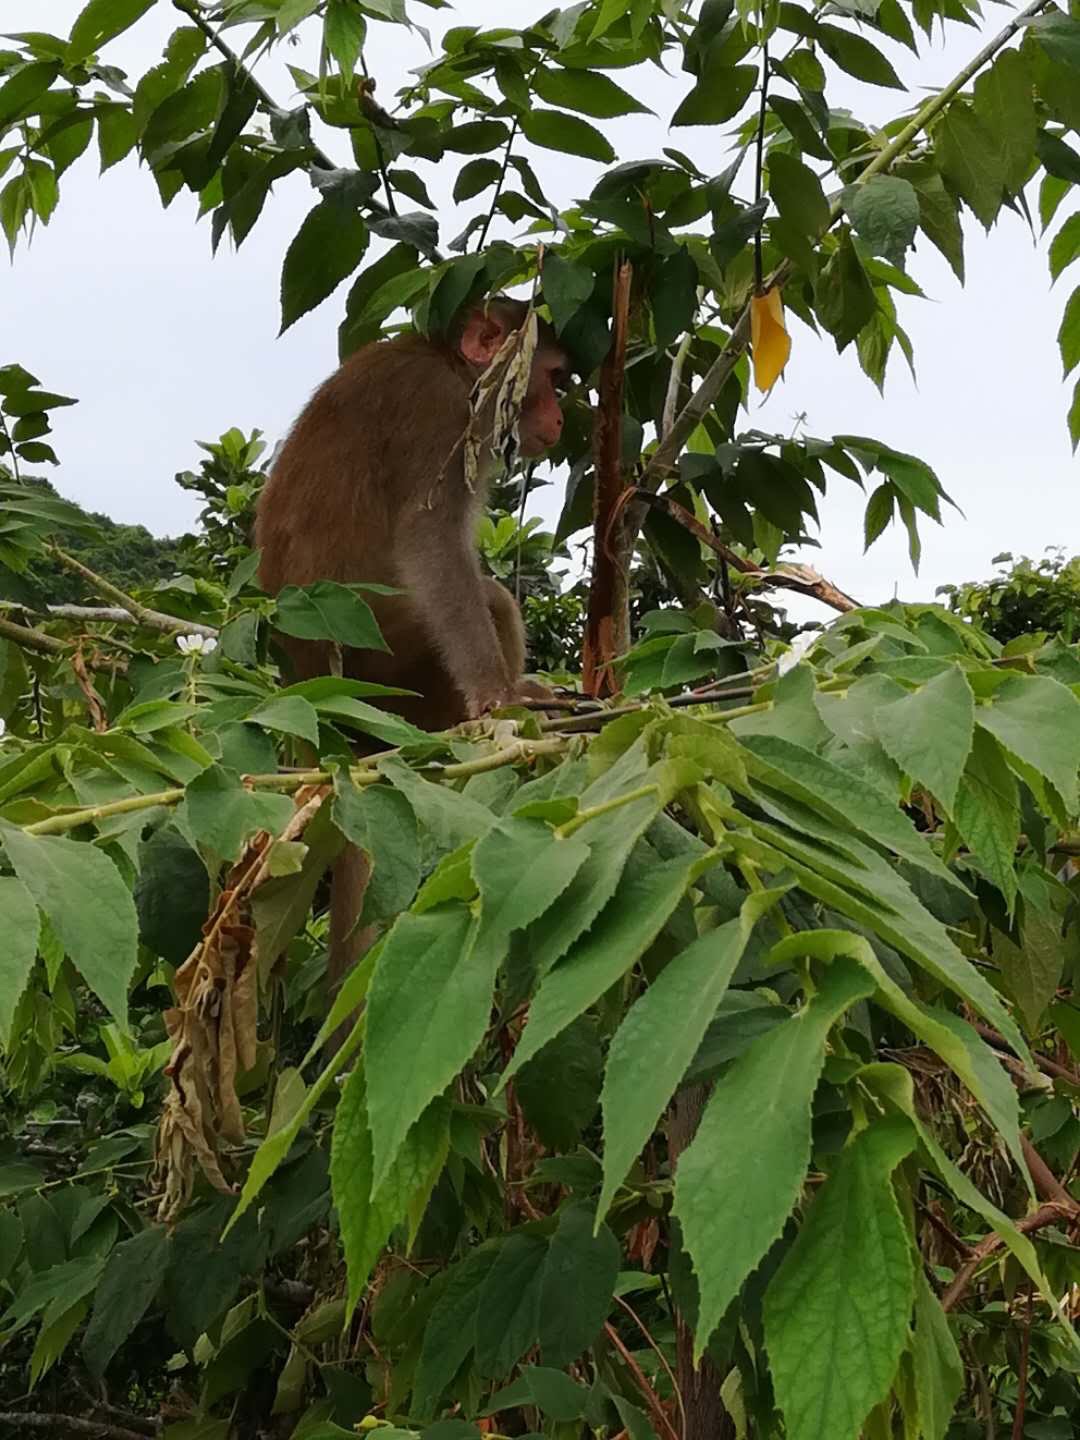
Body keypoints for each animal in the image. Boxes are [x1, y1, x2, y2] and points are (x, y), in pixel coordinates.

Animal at [254, 298, 576, 1025]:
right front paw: (498, 695)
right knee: (488, 597)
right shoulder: (439, 413)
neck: (447, 363)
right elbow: (429, 540)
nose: (560, 417)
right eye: (551, 378)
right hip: (398, 674)